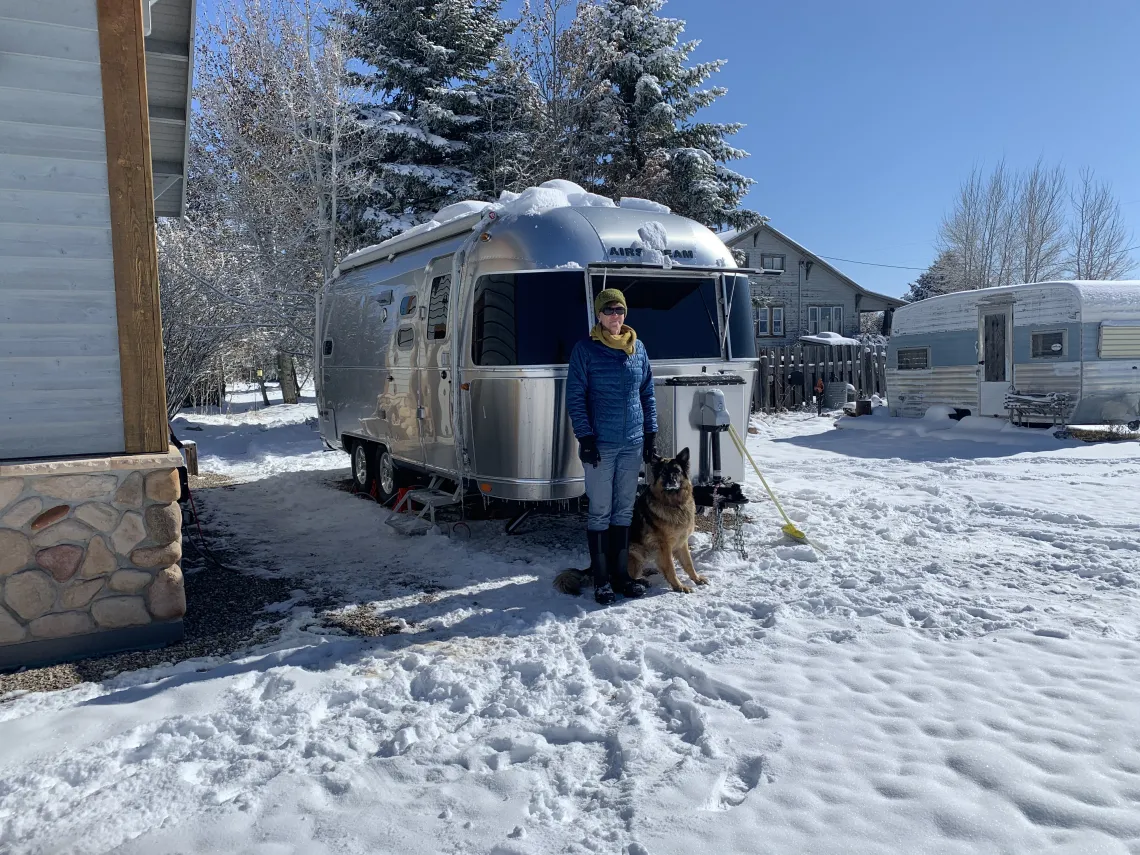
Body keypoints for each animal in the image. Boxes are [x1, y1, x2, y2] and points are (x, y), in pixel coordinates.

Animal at [551, 449, 702, 597]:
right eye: (664, 472)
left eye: (677, 471)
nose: (672, 481)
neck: (674, 504)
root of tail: (592, 568)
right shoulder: (664, 547)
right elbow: (670, 568)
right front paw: (679, 586)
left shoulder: (682, 542)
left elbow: (689, 563)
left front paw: (696, 578)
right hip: (634, 553)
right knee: (616, 578)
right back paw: (638, 582)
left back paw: (647, 572)